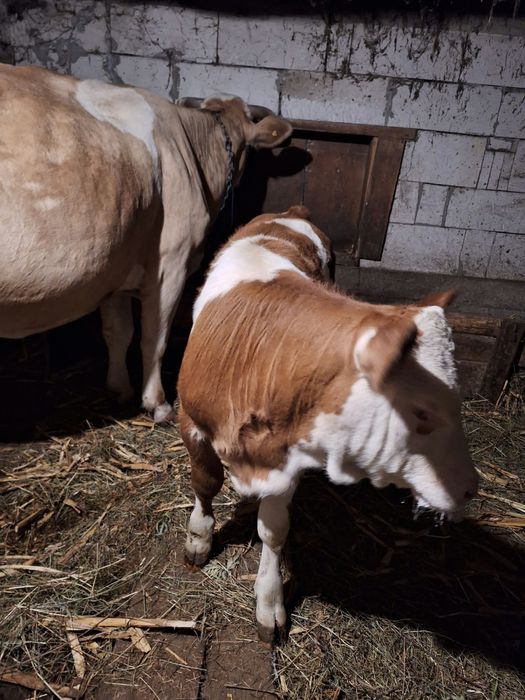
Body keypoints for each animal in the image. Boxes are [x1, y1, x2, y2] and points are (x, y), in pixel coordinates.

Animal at [0, 64, 292, 422]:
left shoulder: (115, 265)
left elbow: (118, 333)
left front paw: (119, 389)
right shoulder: (171, 264)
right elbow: (155, 338)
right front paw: (158, 403)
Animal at [177, 205, 479, 643]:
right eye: (422, 412)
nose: (472, 488)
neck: (261, 358)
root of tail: (289, 213)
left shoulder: (288, 457)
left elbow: (274, 529)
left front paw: (269, 602)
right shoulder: (191, 420)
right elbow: (205, 482)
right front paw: (199, 539)